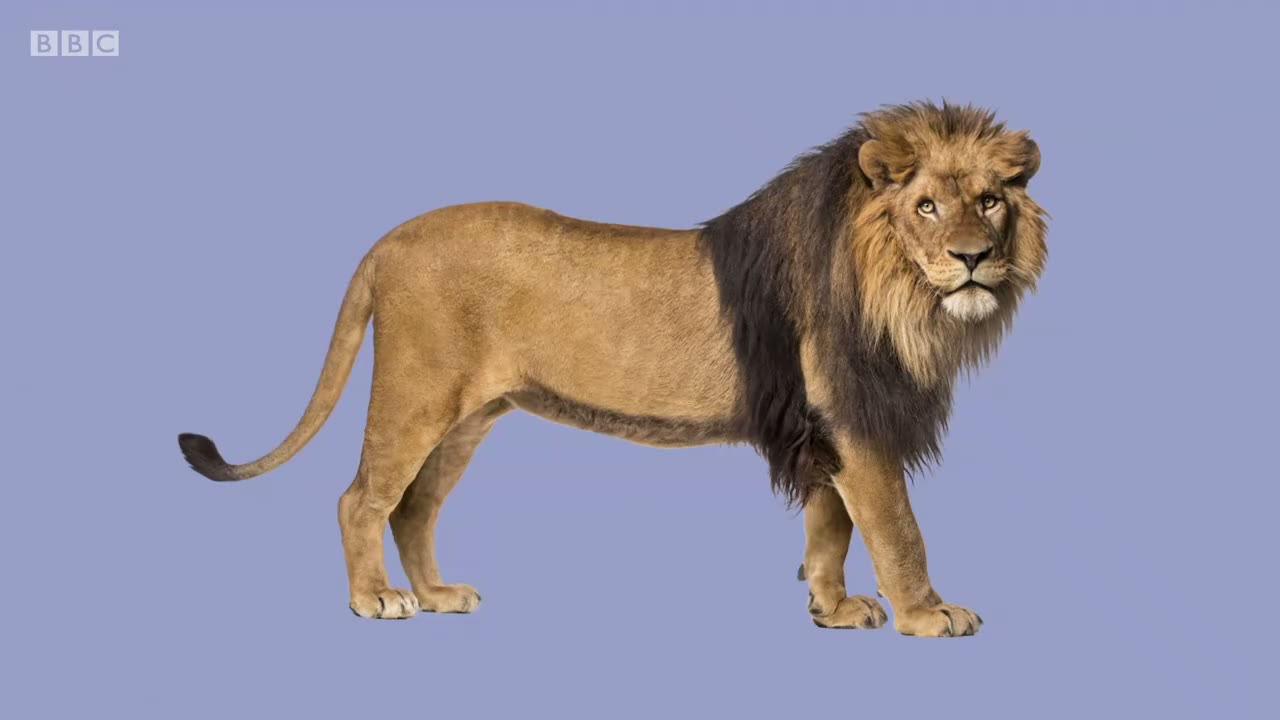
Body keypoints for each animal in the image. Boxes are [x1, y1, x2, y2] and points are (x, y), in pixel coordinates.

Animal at [178, 100, 1047, 636]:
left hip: (468, 416)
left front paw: (832, 611)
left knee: (413, 507)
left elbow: (830, 526)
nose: (974, 259)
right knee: (361, 498)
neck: (903, 296)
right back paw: (377, 601)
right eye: (926, 206)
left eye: (990, 201)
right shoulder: (856, 422)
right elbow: (897, 528)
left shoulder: (821, 425)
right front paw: (929, 615)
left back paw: (437, 595)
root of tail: (388, 240)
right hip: (415, 393)